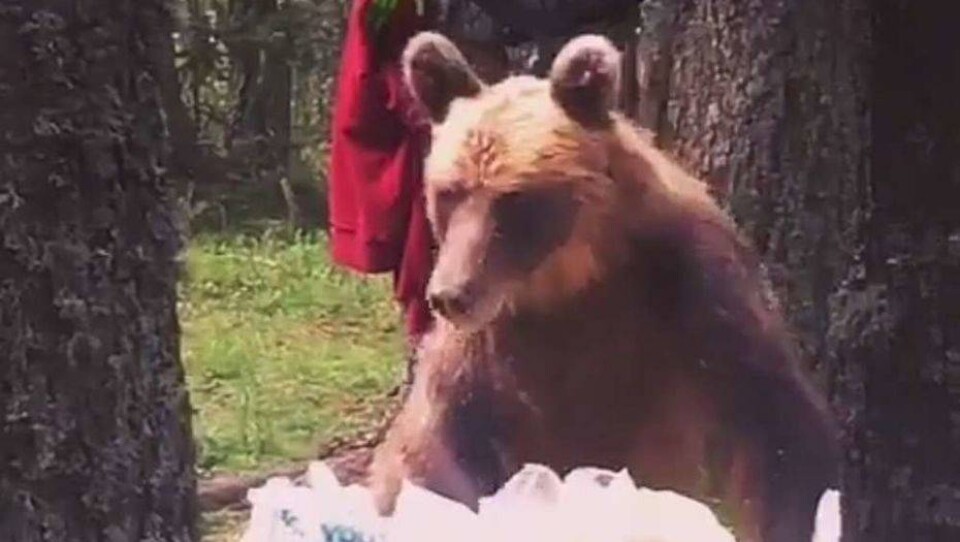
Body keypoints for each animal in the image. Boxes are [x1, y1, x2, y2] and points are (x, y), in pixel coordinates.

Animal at [367, 32, 840, 542]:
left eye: (513, 200)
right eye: (449, 192)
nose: (450, 295)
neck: (569, 280)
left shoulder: (692, 287)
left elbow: (777, 424)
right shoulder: (486, 349)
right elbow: (435, 449)